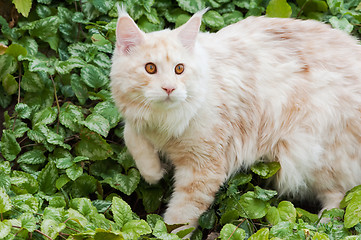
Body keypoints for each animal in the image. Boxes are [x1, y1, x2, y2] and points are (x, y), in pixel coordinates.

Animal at [109, 7, 360, 234]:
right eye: (150, 68)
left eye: (179, 69)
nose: (169, 88)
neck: (162, 122)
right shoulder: (138, 121)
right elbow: (132, 138)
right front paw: (154, 172)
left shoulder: (202, 168)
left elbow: (180, 218)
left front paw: (166, 234)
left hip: (314, 155)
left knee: (338, 200)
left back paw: (320, 227)